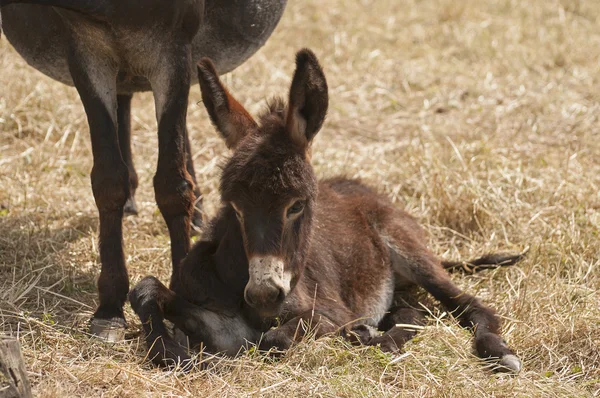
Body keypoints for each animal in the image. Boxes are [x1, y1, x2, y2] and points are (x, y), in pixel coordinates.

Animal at [130, 48, 520, 372]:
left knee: (469, 304)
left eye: (297, 206)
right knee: (415, 310)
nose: (264, 294)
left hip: (408, 250)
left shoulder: (328, 311)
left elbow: (276, 338)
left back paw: (497, 350)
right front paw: (172, 352)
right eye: (236, 209)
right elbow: (145, 290)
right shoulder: (218, 319)